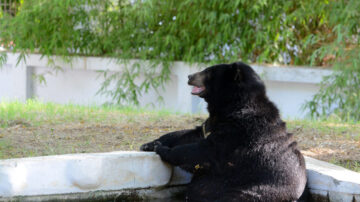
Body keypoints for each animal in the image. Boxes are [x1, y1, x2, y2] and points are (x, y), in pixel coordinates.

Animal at [141, 62, 306, 201]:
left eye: (208, 71)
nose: (189, 76)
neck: (232, 106)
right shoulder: (213, 124)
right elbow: (190, 134)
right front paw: (150, 144)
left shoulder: (239, 132)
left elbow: (204, 150)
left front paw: (162, 149)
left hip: (251, 191)